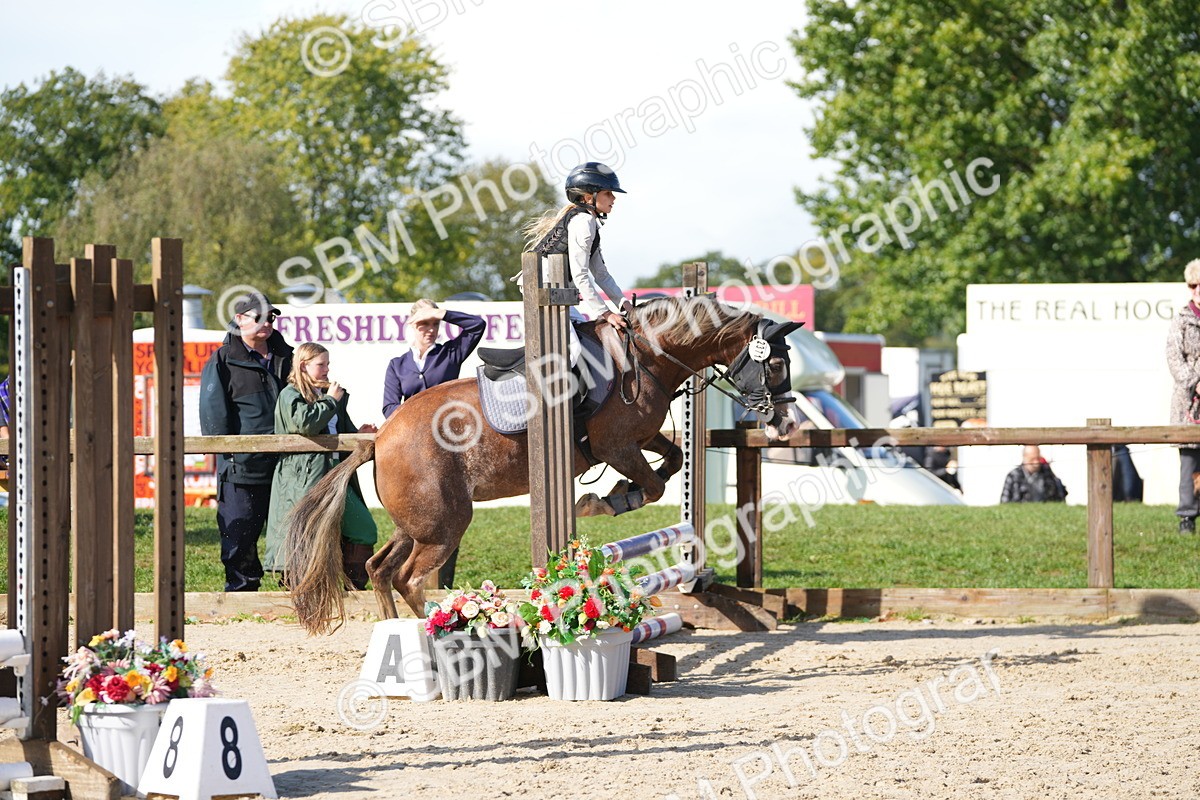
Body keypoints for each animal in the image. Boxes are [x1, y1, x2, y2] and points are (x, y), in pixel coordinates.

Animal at [284, 295, 801, 635]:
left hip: (417, 523)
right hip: (444, 524)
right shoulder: (616, 446)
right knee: (408, 578)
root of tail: (380, 437)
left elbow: (673, 460)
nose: (786, 424)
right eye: (775, 365)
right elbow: (652, 486)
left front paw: (614, 493)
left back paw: (394, 635)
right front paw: (601, 501)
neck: (648, 357)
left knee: (378, 567)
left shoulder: (639, 438)